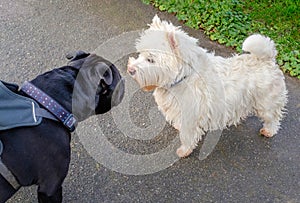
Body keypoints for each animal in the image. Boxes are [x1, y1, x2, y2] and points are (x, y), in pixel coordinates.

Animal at [126, 15, 286, 158]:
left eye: (151, 59)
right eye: (140, 54)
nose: (130, 70)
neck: (183, 77)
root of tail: (267, 59)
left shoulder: (190, 117)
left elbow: (187, 137)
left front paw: (184, 151)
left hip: (266, 104)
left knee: (273, 118)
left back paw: (268, 131)